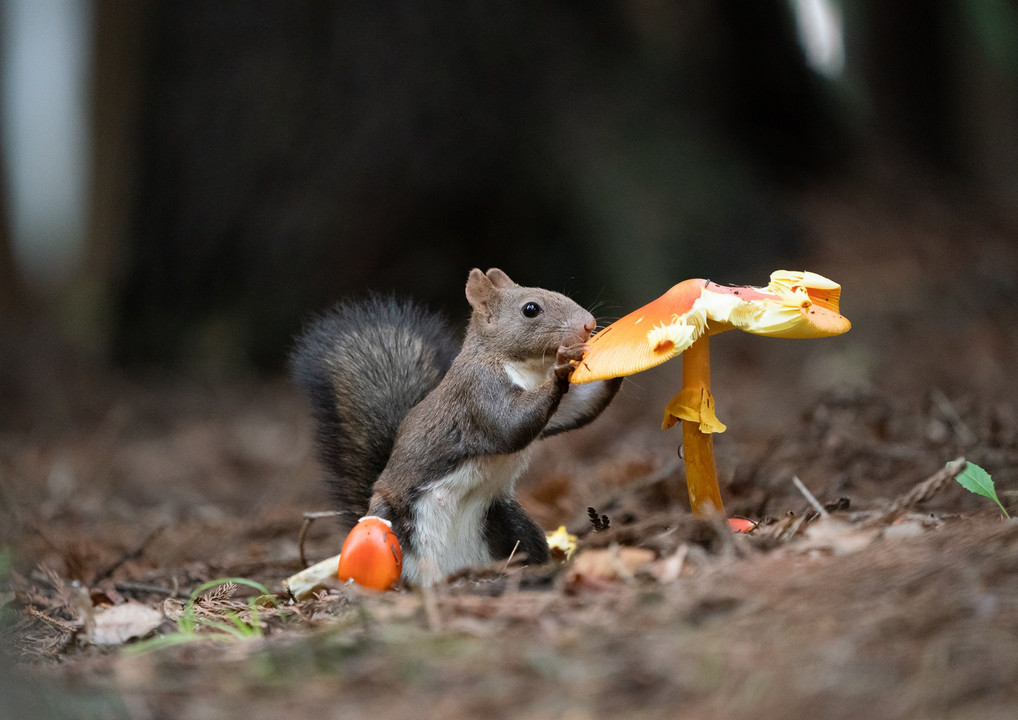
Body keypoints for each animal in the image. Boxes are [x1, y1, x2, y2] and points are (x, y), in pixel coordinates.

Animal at [289, 266, 618, 586]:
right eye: (531, 309)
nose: (588, 323)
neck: (525, 367)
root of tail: (453, 568)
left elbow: (580, 406)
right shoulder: (477, 392)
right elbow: (508, 424)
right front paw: (561, 369)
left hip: (509, 522)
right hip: (390, 525)